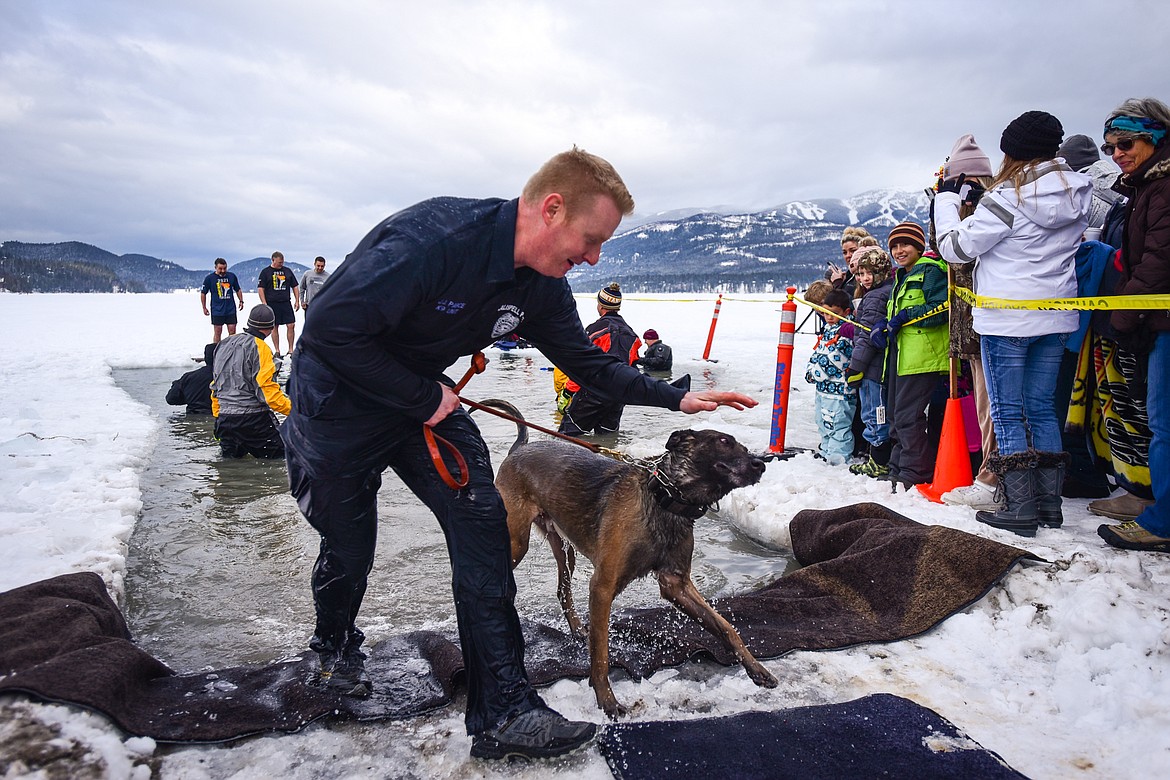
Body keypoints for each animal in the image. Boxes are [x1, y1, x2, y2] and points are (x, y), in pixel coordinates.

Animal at [479, 402, 781, 720]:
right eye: (724, 442)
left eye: (743, 446)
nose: (761, 465)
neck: (664, 499)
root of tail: (518, 450)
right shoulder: (602, 586)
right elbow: (600, 654)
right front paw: (607, 701)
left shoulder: (676, 584)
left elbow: (726, 627)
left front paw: (756, 669)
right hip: (515, 544)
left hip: (564, 547)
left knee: (563, 591)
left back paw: (576, 629)